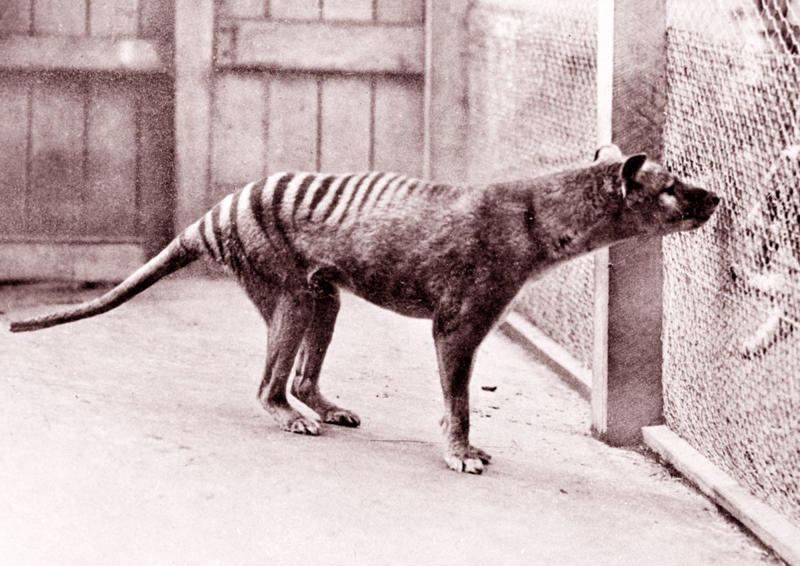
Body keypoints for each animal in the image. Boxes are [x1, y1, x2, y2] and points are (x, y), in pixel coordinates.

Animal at [9, 144, 720, 474]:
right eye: (671, 187)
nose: (715, 197)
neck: (536, 216)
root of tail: (214, 214)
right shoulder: (459, 322)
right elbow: (459, 398)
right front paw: (461, 452)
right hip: (290, 292)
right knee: (269, 384)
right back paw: (291, 418)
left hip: (323, 294)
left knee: (301, 374)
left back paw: (323, 406)